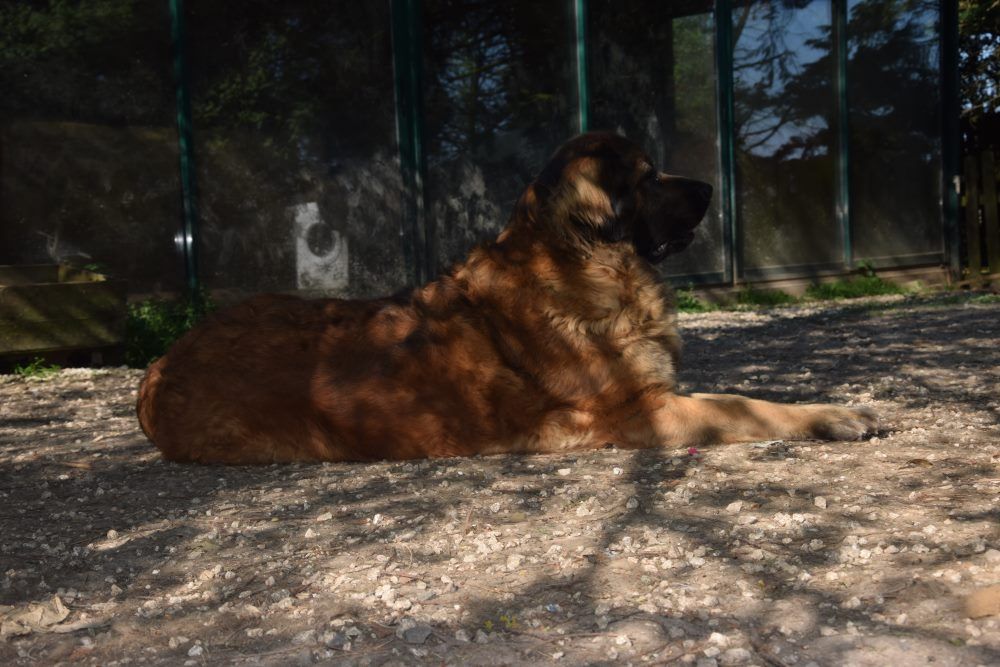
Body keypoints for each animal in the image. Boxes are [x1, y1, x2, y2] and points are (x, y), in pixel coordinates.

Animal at [139, 132, 876, 462]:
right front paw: (830, 415)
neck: (580, 261)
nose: (708, 188)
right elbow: (744, 405)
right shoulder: (645, 412)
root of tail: (159, 366)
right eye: (645, 178)